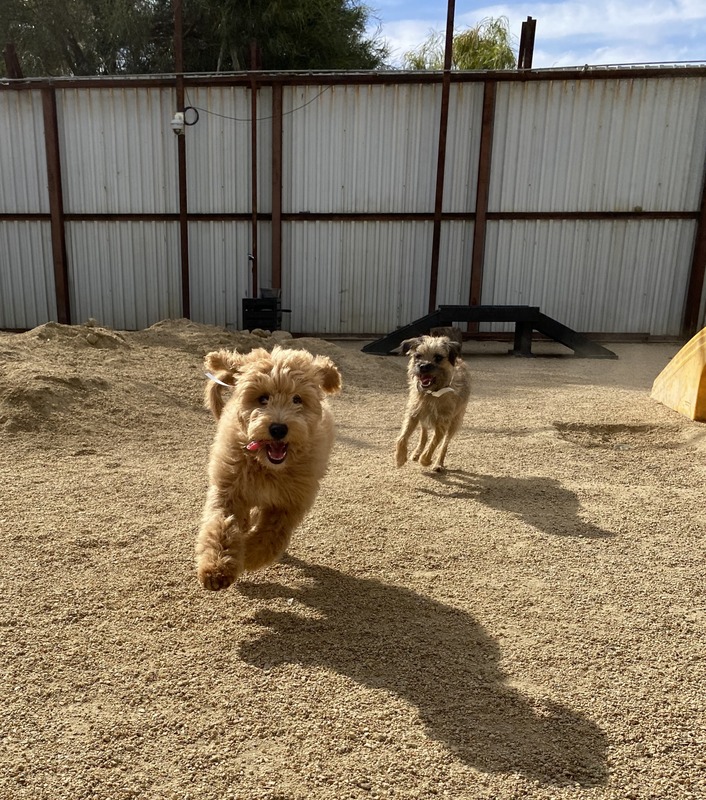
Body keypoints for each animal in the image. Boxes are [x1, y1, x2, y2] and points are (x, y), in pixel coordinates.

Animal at [195, 346, 340, 592]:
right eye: (262, 398)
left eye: (297, 399)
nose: (278, 428)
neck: (267, 467)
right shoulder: (228, 491)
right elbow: (221, 526)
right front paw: (217, 569)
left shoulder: (288, 504)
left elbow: (271, 538)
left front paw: (248, 556)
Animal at [396, 334, 468, 472]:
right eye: (418, 356)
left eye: (438, 357)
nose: (423, 366)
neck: (431, 393)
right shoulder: (413, 414)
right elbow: (402, 437)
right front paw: (400, 458)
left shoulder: (443, 422)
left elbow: (434, 443)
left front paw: (425, 460)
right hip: (423, 417)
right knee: (424, 434)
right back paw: (417, 453)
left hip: (454, 423)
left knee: (444, 444)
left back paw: (438, 464)